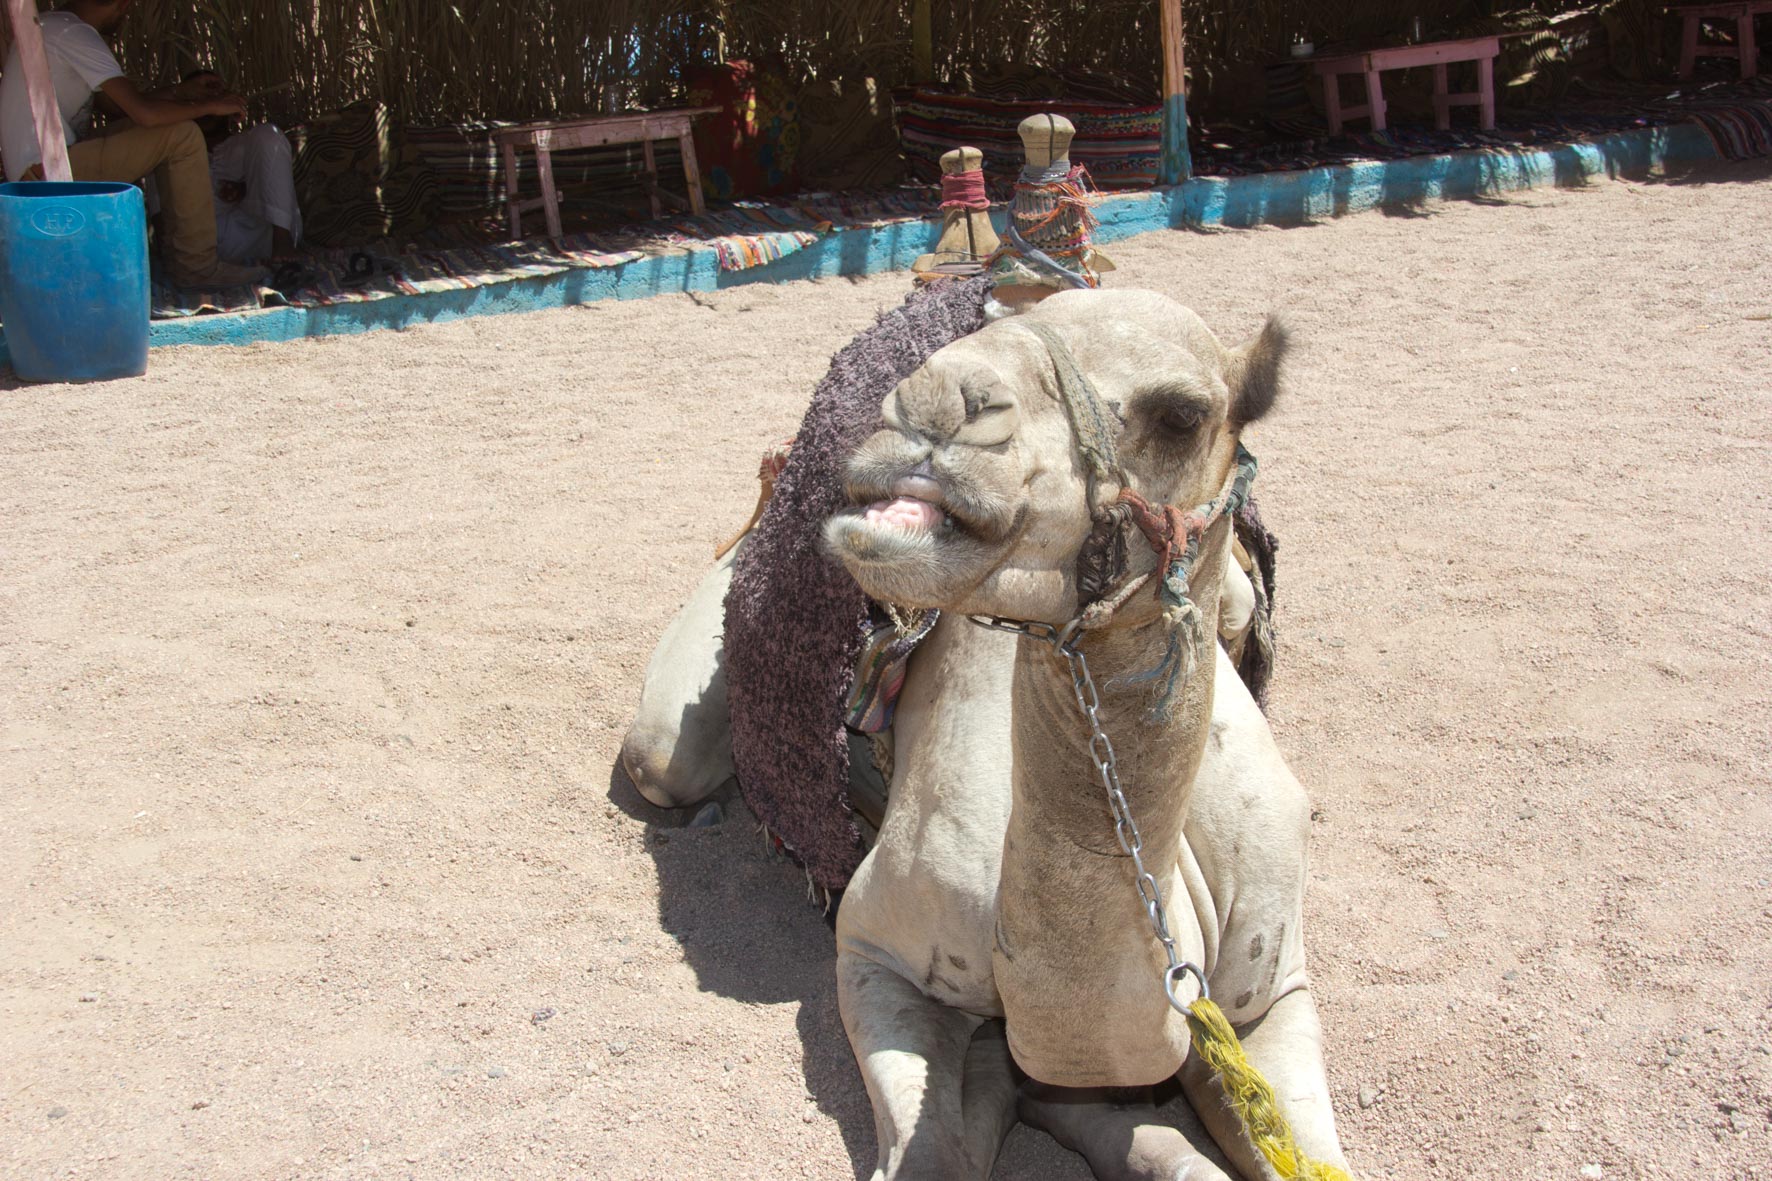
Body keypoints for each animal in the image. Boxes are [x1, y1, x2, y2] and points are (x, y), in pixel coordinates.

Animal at [622, 289, 1348, 1180]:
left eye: (1182, 414)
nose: (929, 404)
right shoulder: (873, 949)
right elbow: (942, 1147)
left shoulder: (1271, 986)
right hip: (688, 701)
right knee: (665, 757)